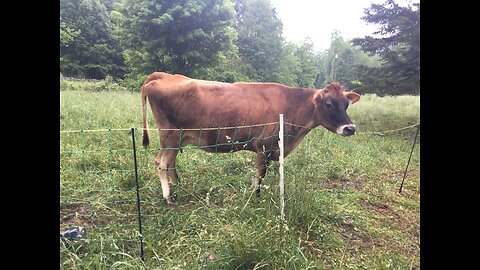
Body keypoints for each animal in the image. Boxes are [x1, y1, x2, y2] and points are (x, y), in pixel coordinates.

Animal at [141, 71, 358, 205]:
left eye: (346, 104)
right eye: (329, 104)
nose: (350, 128)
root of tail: (164, 75)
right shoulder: (264, 146)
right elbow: (260, 173)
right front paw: (256, 195)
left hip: (177, 138)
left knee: (170, 162)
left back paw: (178, 184)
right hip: (170, 135)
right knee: (161, 163)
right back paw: (168, 197)